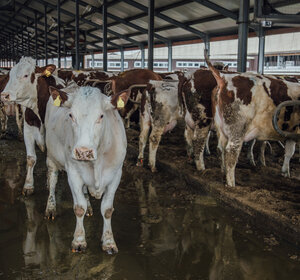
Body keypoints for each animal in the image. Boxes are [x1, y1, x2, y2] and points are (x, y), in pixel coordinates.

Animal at [46, 86, 129, 254]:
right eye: (71, 115)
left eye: (101, 116)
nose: (83, 152)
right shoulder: (73, 174)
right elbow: (79, 208)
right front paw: (79, 240)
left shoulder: (116, 175)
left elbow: (107, 209)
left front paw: (109, 241)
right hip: (51, 156)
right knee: (52, 180)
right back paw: (50, 207)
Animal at [205, 53, 300, 187]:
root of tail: (223, 77)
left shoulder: (291, 133)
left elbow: (288, 151)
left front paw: (285, 172)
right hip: (237, 129)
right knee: (231, 152)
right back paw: (231, 184)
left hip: (221, 128)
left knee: (220, 149)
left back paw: (224, 173)